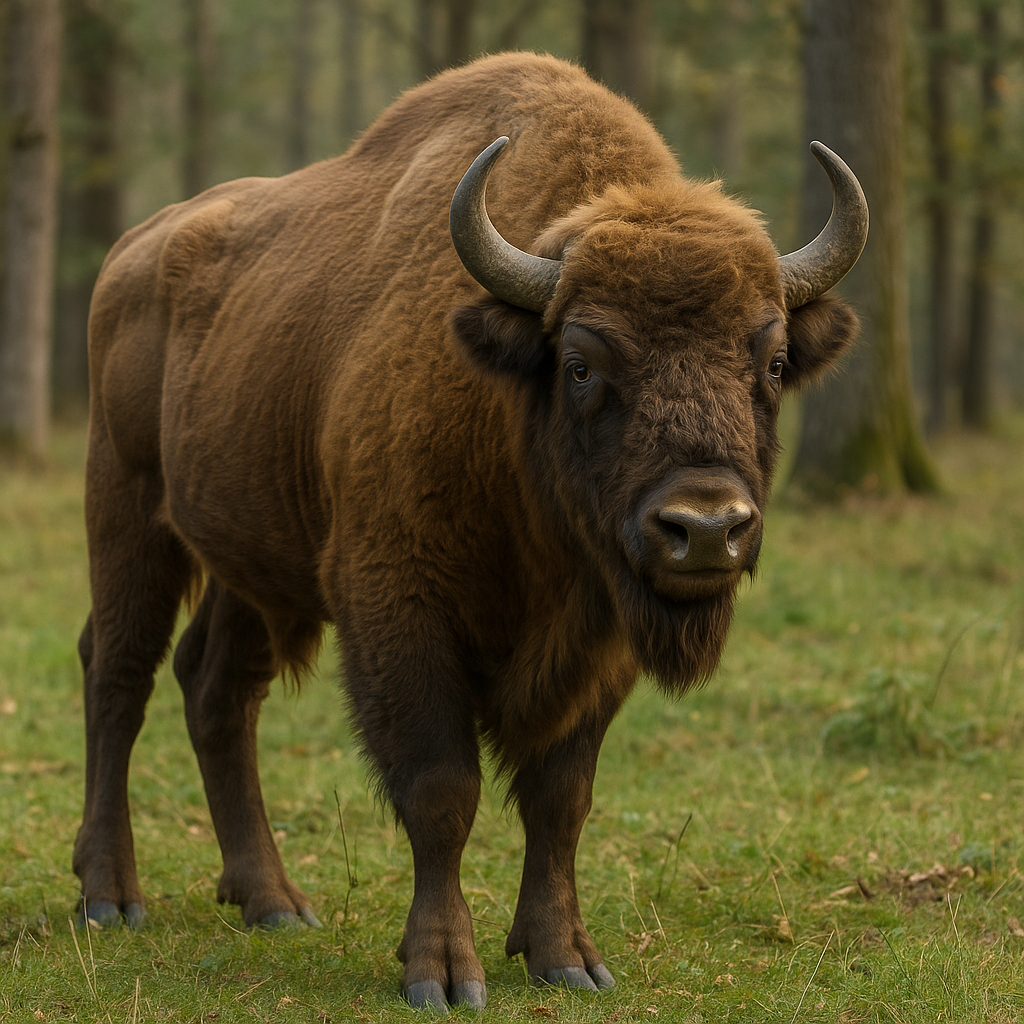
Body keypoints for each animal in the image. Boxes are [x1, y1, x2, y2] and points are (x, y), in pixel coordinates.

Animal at [74, 52, 867, 1011]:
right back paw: (111, 897)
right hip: (127, 506)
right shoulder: (398, 613)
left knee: (217, 688)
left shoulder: (598, 646)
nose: (706, 528)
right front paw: (444, 973)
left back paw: (274, 903)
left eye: (775, 362)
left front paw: (566, 958)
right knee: (119, 673)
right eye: (581, 363)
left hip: (255, 562)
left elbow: (561, 800)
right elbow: (441, 792)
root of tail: (132, 252)